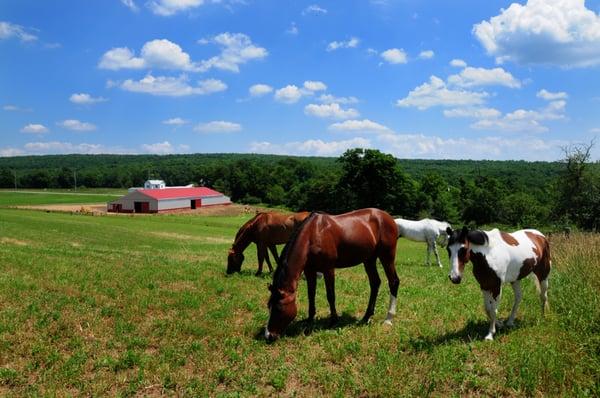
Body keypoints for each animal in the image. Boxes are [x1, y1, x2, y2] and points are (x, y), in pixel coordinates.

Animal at [264, 208, 400, 342]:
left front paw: (333, 321)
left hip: (387, 255)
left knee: (393, 281)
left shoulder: (328, 269)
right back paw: (366, 317)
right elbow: (311, 295)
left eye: (279, 308)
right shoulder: (309, 271)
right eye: (269, 306)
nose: (269, 335)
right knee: (375, 283)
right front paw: (310, 319)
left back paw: (388, 319)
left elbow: (330, 295)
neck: (313, 234)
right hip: (369, 259)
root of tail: (388, 217)